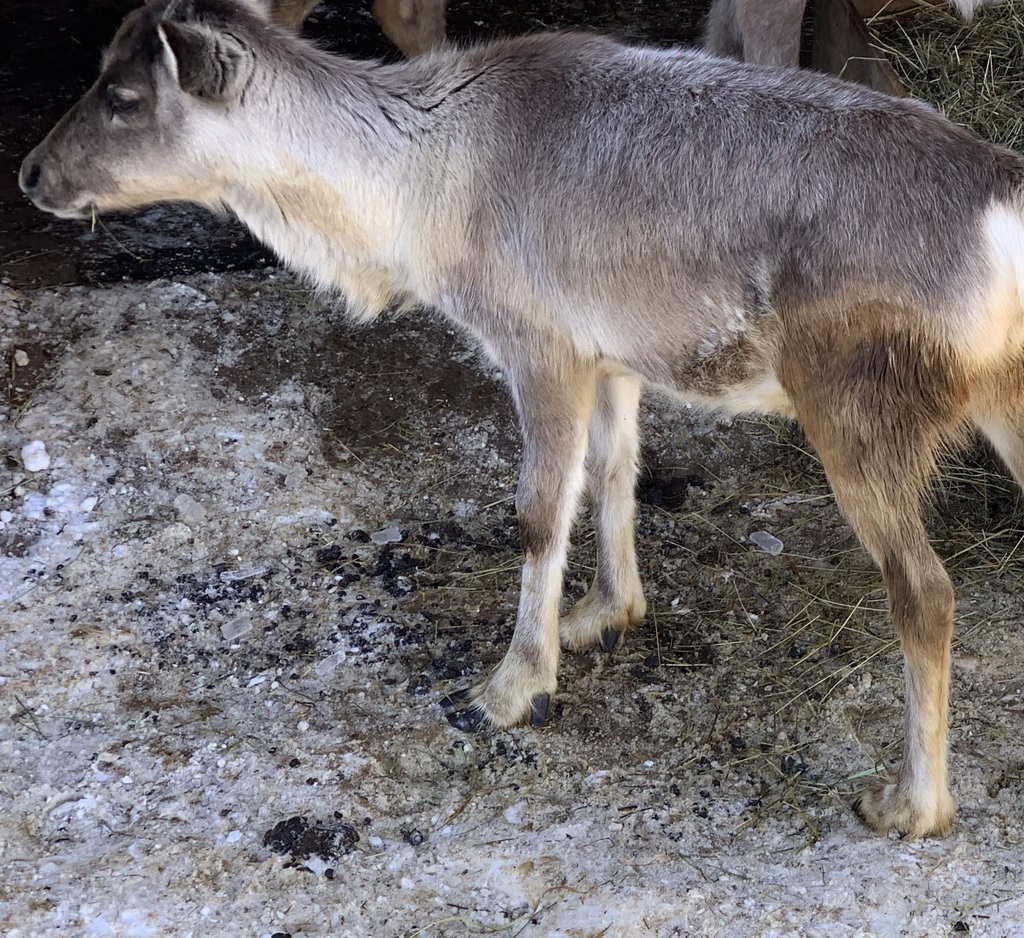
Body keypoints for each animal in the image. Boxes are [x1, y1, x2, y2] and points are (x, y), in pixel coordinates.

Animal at [19, 0, 1024, 840]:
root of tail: (1002, 202)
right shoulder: (609, 351)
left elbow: (540, 512)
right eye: (99, 72)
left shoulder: (535, 341)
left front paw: (512, 686)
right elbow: (615, 473)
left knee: (925, 590)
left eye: (123, 96)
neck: (411, 199)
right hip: (1003, 395)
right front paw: (607, 613)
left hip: (854, 402)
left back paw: (912, 805)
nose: (30, 173)